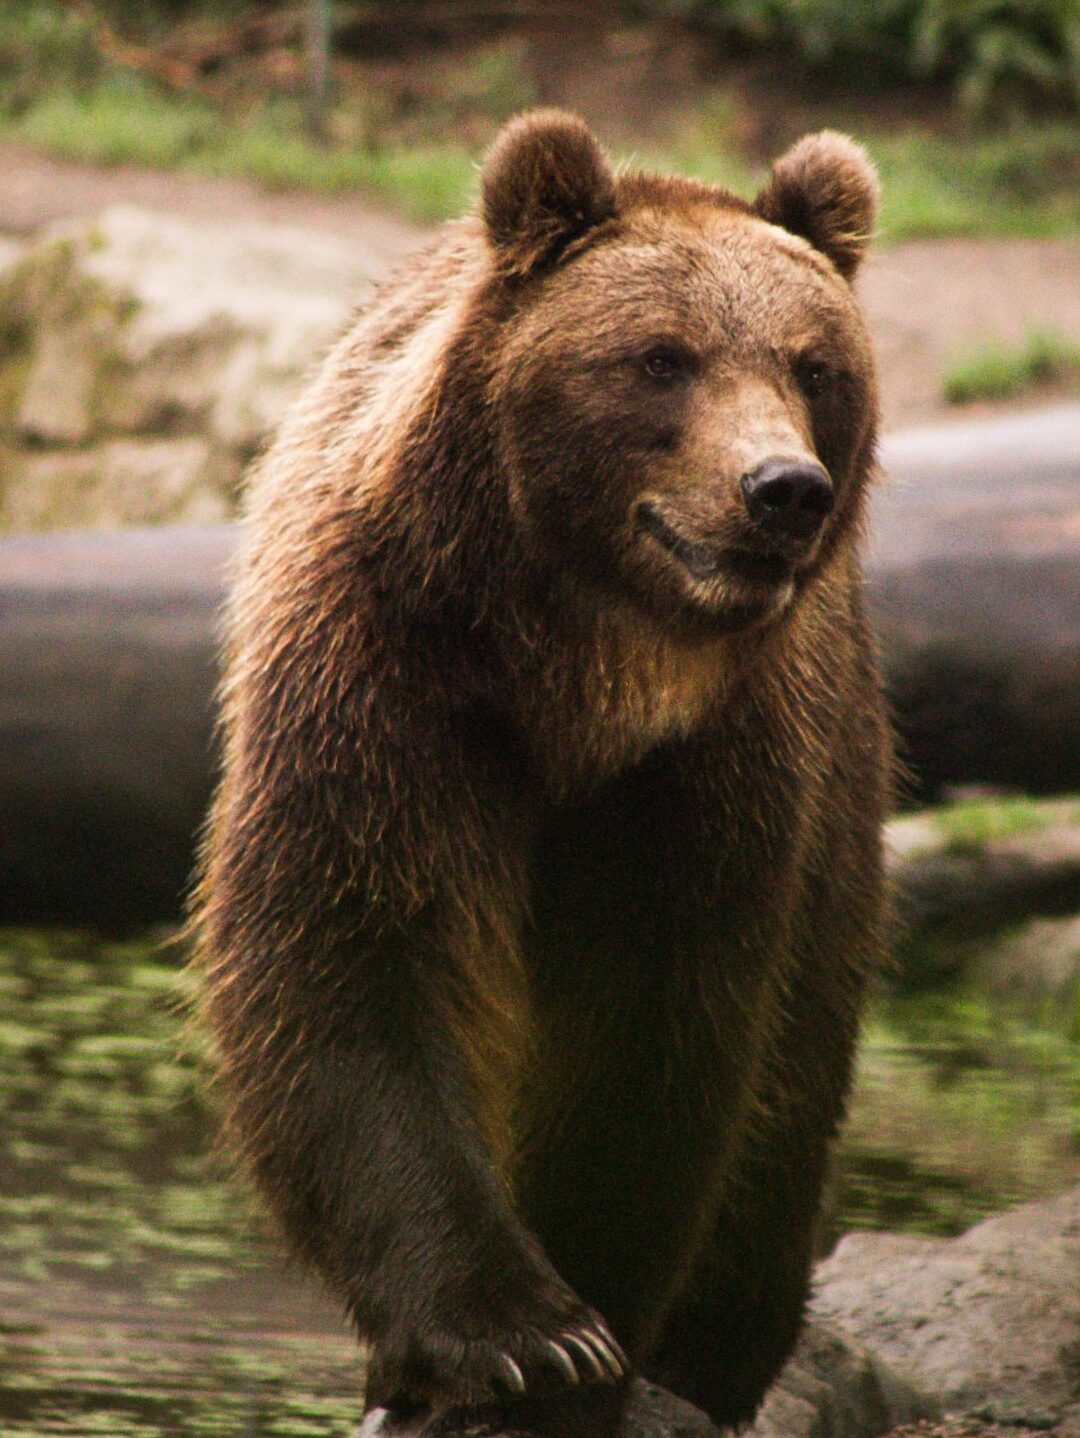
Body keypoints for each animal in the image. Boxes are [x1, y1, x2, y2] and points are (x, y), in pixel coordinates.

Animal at [193, 109, 891, 1436]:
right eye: (663, 358)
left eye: (812, 365)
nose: (781, 489)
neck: (581, 672)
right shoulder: (385, 679)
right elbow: (354, 958)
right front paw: (521, 1336)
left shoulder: (719, 762)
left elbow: (657, 1028)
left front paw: (593, 1335)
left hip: (845, 804)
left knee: (793, 1085)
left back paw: (722, 1348)